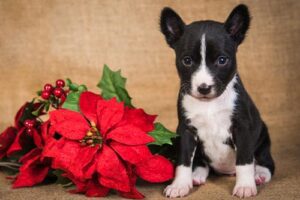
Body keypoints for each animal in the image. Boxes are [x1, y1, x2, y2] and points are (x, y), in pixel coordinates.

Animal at [159, 3, 274, 198]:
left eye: (222, 60)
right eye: (187, 61)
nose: (204, 87)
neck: (209, 104)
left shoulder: (242, 128)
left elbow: (244, 161)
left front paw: (245, 185)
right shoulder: (186, 130)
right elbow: (183, 161)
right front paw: (179, 184)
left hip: (263, 138)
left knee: (266, 162)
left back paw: (259, 175)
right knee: (200, 163)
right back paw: (196, 176)